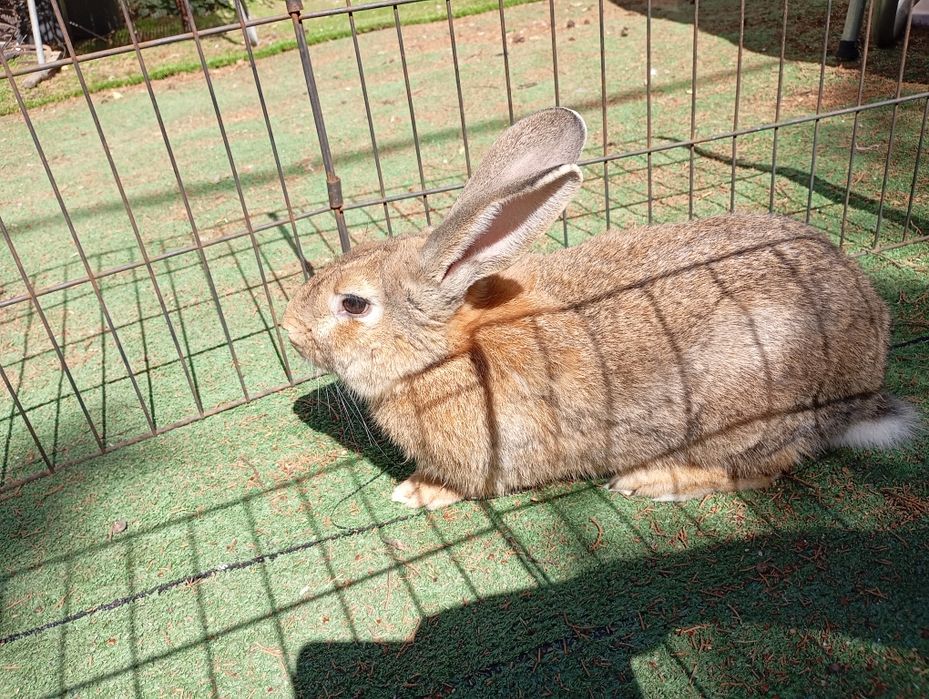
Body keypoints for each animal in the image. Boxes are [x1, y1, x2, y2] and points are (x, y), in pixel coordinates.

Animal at [282, 107, 920, 510]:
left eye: (354, 303)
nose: (288, 330)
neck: (445, 353)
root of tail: (866, 384)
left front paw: (418, 490)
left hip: (744, 408)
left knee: (761, 469)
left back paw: (651, 482)